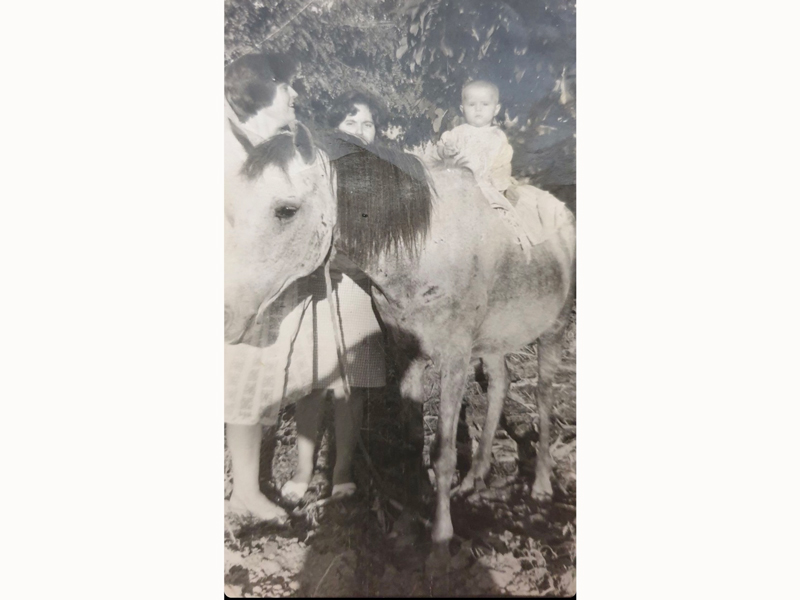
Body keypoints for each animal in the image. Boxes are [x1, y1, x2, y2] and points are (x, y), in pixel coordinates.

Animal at [224, 126, 576, 571]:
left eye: (286, 210)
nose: (226, 317)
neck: (423, 250)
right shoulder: (408, 356)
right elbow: (412, 445)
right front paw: (409, 525)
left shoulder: (454, 362)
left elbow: (442, 453)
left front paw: (441, 541)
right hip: (494, 341)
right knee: (500, 385)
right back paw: (474, 479)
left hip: (554, 331)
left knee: (544, 399)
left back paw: (542, 484)